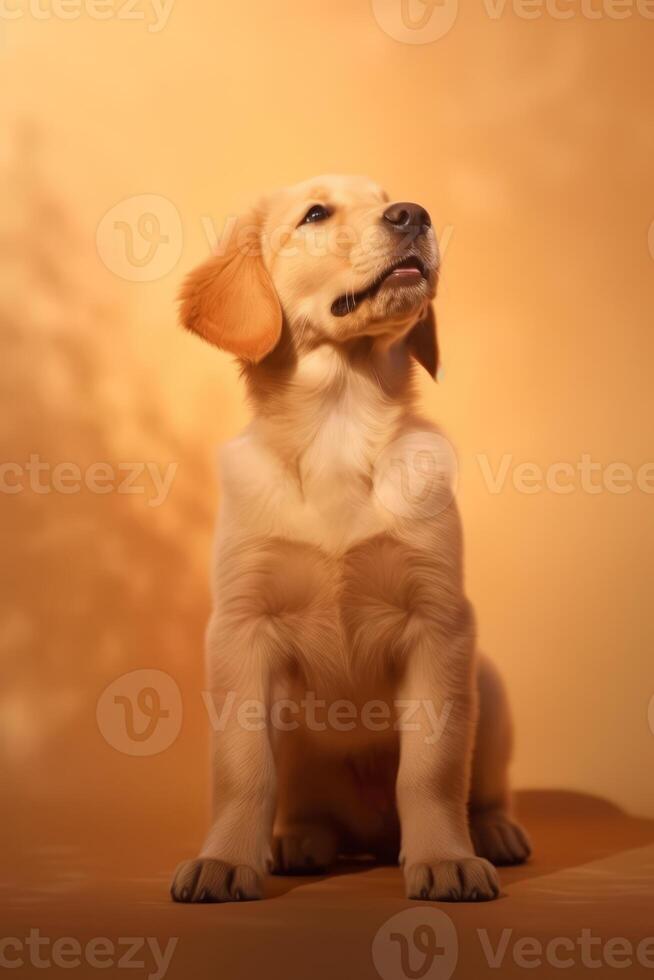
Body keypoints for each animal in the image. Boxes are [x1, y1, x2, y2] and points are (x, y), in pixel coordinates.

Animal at [170, 174, 532, 904]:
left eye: (392, 196)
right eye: (315, 214)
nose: (415, 215)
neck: (339, 423)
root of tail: (371, 836)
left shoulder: (439, 623)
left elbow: (431, 765)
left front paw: (446, 858)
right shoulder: (241, 628)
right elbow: (242, 767)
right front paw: (225, 860)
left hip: (489, 685)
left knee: (479, 785)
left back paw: (492, 831)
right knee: (310, 807)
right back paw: (297, 840)